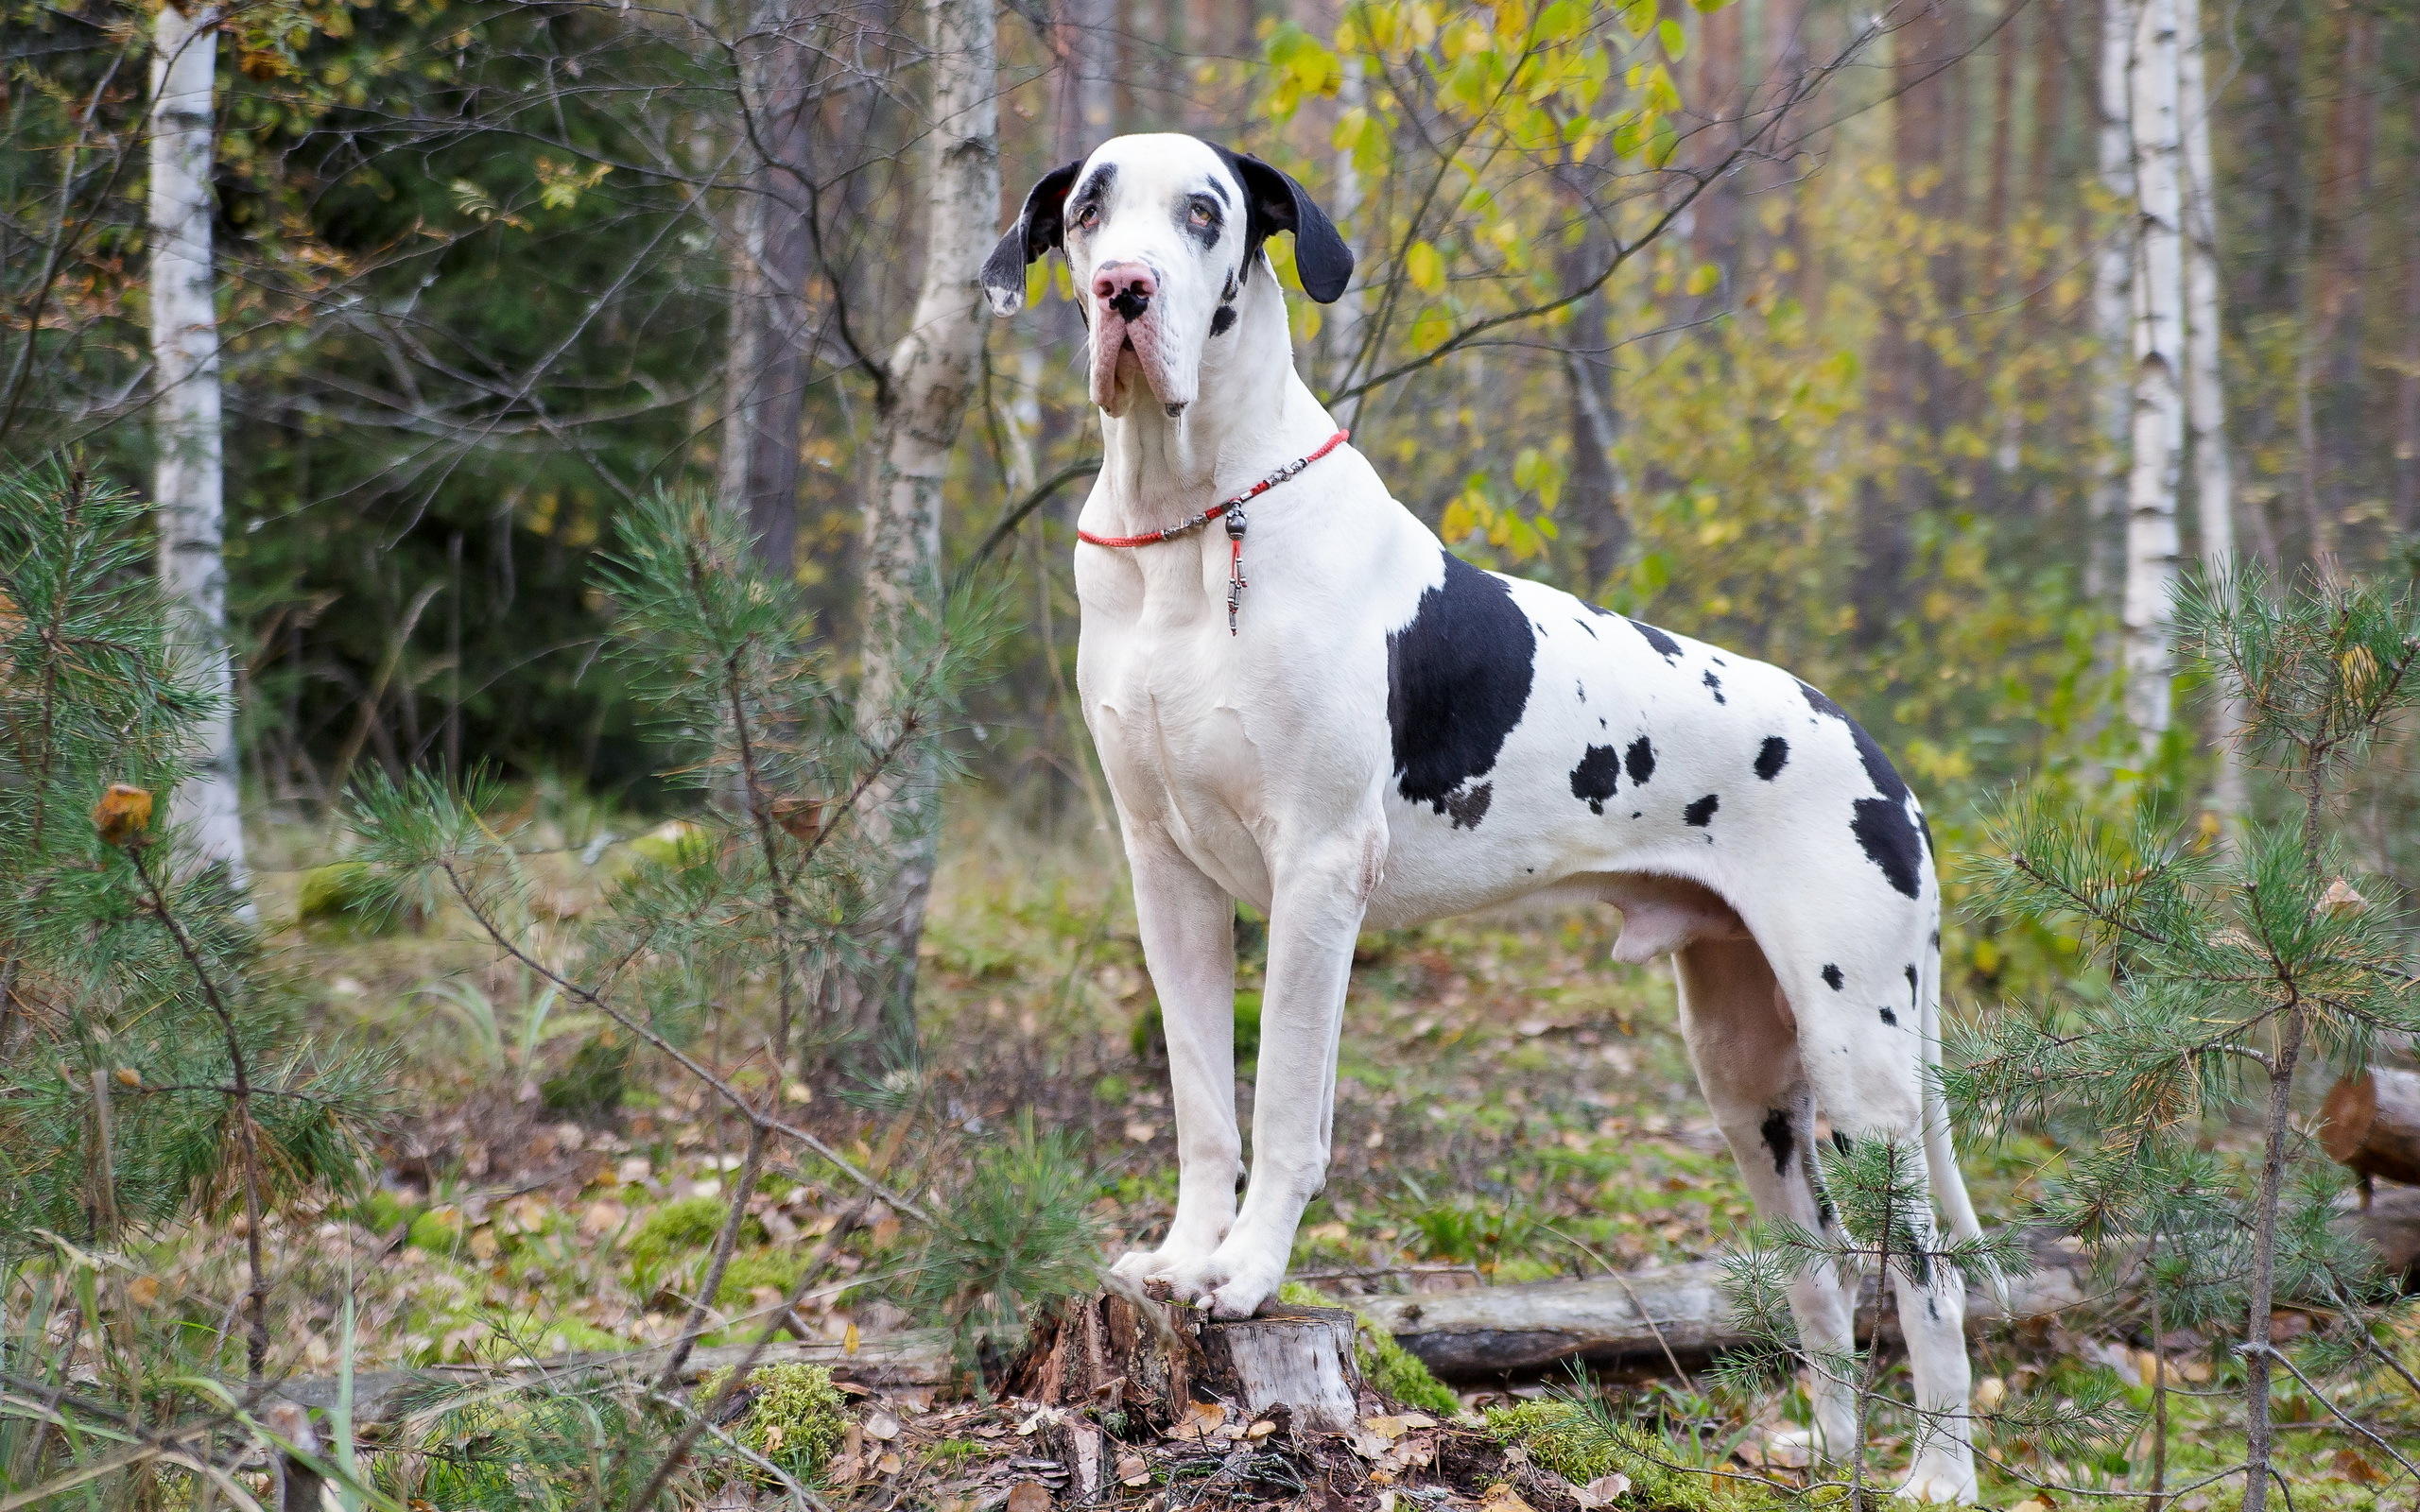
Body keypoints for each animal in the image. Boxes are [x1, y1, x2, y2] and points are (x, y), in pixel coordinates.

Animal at [982, 132, 1984, 1500]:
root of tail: (1883, 761)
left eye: (1203, 213)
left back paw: (1939, 1469)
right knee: (1824, 1260)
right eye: (1089, 210)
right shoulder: (1166, 877)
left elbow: (1284, 1110)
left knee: (1928, 1275)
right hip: (1748, 1079)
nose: (1121, 291)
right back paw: (1825, 1453)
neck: (1192, 521)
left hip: (1865, 1060)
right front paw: (1187, 1257)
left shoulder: (1316, 874)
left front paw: (1247, 1273)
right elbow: (1201, 1103)